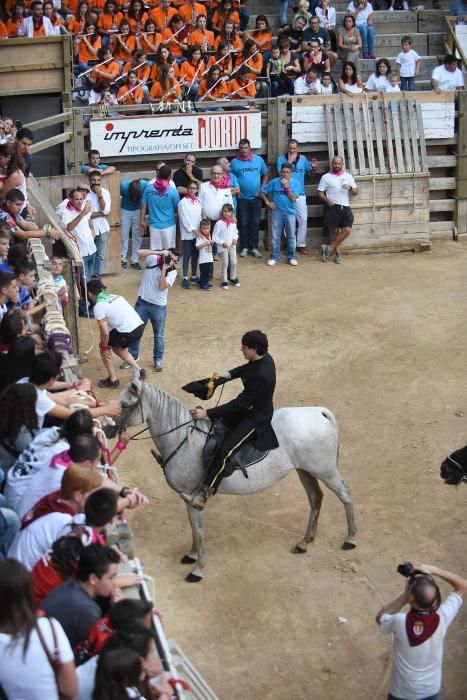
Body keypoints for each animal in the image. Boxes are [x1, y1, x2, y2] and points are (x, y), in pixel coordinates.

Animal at [119, 380, 358, 584]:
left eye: (124, 405)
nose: (113, 429)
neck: (184, 440)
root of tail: (319, 412)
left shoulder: (193, 498)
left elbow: (199, 530)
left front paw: (198, 569)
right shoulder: (187, 498)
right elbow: (193, 528)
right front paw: (192, 555)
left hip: (325, 471)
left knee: (345, 495)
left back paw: (351, 538)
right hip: (305, 471)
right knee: (315, 498)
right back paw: (304, 542)